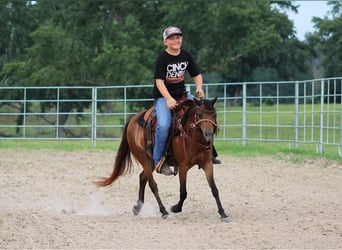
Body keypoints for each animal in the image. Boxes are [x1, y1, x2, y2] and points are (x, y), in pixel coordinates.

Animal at [94, 96, 230, 222]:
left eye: (214, 114)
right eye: (199, 114)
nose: (209, 134)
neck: (191, 137)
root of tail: (132, 120)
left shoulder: (207, 164)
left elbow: (214, 189)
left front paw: (223, 213)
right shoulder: (183, 166)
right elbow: (183, 192)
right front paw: (175, 208)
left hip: (152, 162)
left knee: (142, 177)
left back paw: (138, 207)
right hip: (144, 160)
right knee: (153, 185)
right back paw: (163, 211)